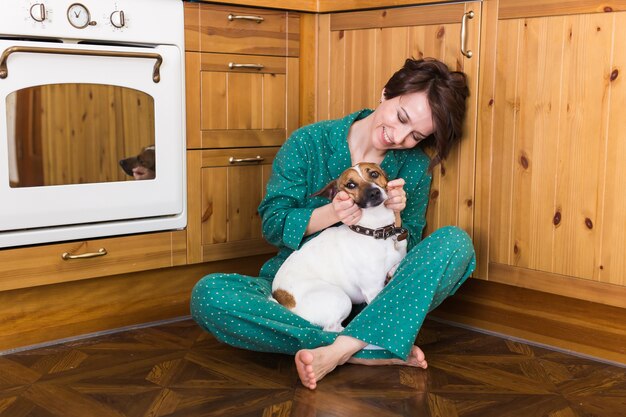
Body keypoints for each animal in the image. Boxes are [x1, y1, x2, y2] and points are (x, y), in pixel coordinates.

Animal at [270, 162, 408, 332]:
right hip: (341, 298)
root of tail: (280, 297)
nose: (374, 192)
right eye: (351, 185)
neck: (376, 231)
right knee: (331, 328)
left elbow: (397, 264)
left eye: (374, 174)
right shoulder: (373, 290)